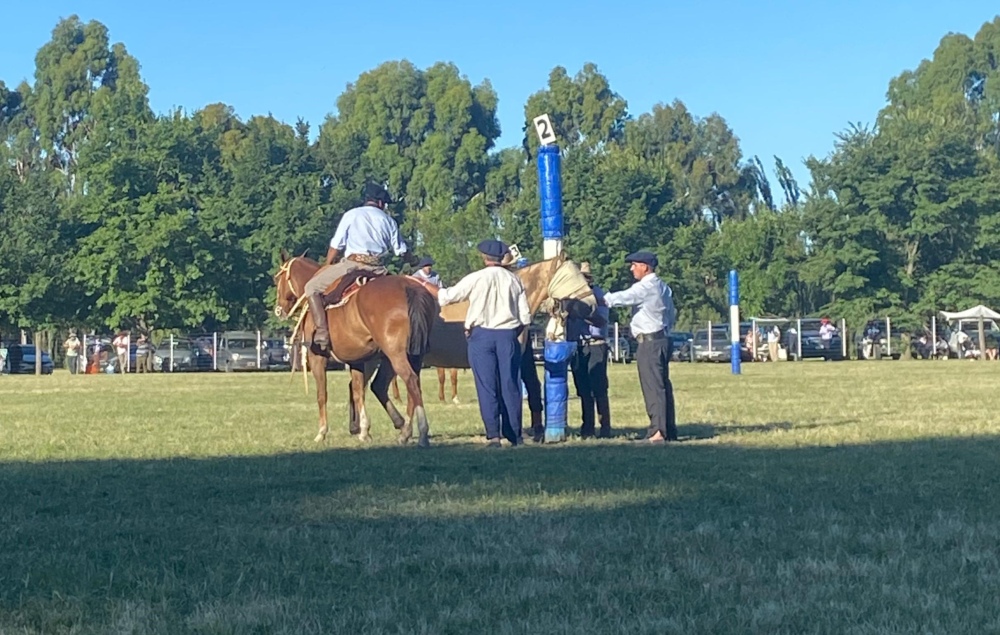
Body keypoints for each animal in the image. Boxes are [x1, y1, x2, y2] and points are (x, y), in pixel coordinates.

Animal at [272, 252, 436, 448]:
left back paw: (422, 431)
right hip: (411, 354)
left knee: (409, 380)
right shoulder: (357, 359)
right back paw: (405, 429)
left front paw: (322, 432)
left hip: (395, 353)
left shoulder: (317, 358)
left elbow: (322, 394)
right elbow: (358, 391)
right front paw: (364, 430)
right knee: (404, 385)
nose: (279, 310)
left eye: (277, 279)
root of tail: (408, 287)